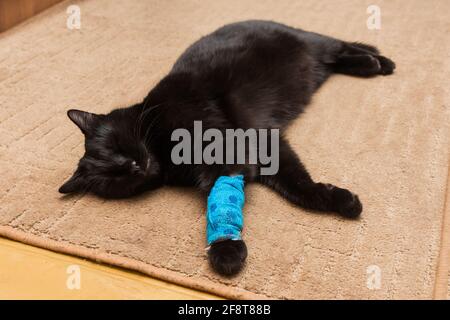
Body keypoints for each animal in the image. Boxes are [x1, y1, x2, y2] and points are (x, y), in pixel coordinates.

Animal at [59, 20, 394, 276]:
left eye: (115, 144)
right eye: (112, 178)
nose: (133, 166)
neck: (162, 149)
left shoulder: (229, 149)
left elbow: (223, 188)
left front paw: (225, 247)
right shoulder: (263, 146)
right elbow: (296, 185)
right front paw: (338, 200)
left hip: (311, 43)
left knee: (338, 44)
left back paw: (378, 62)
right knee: (334, 58)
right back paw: (371, 62)